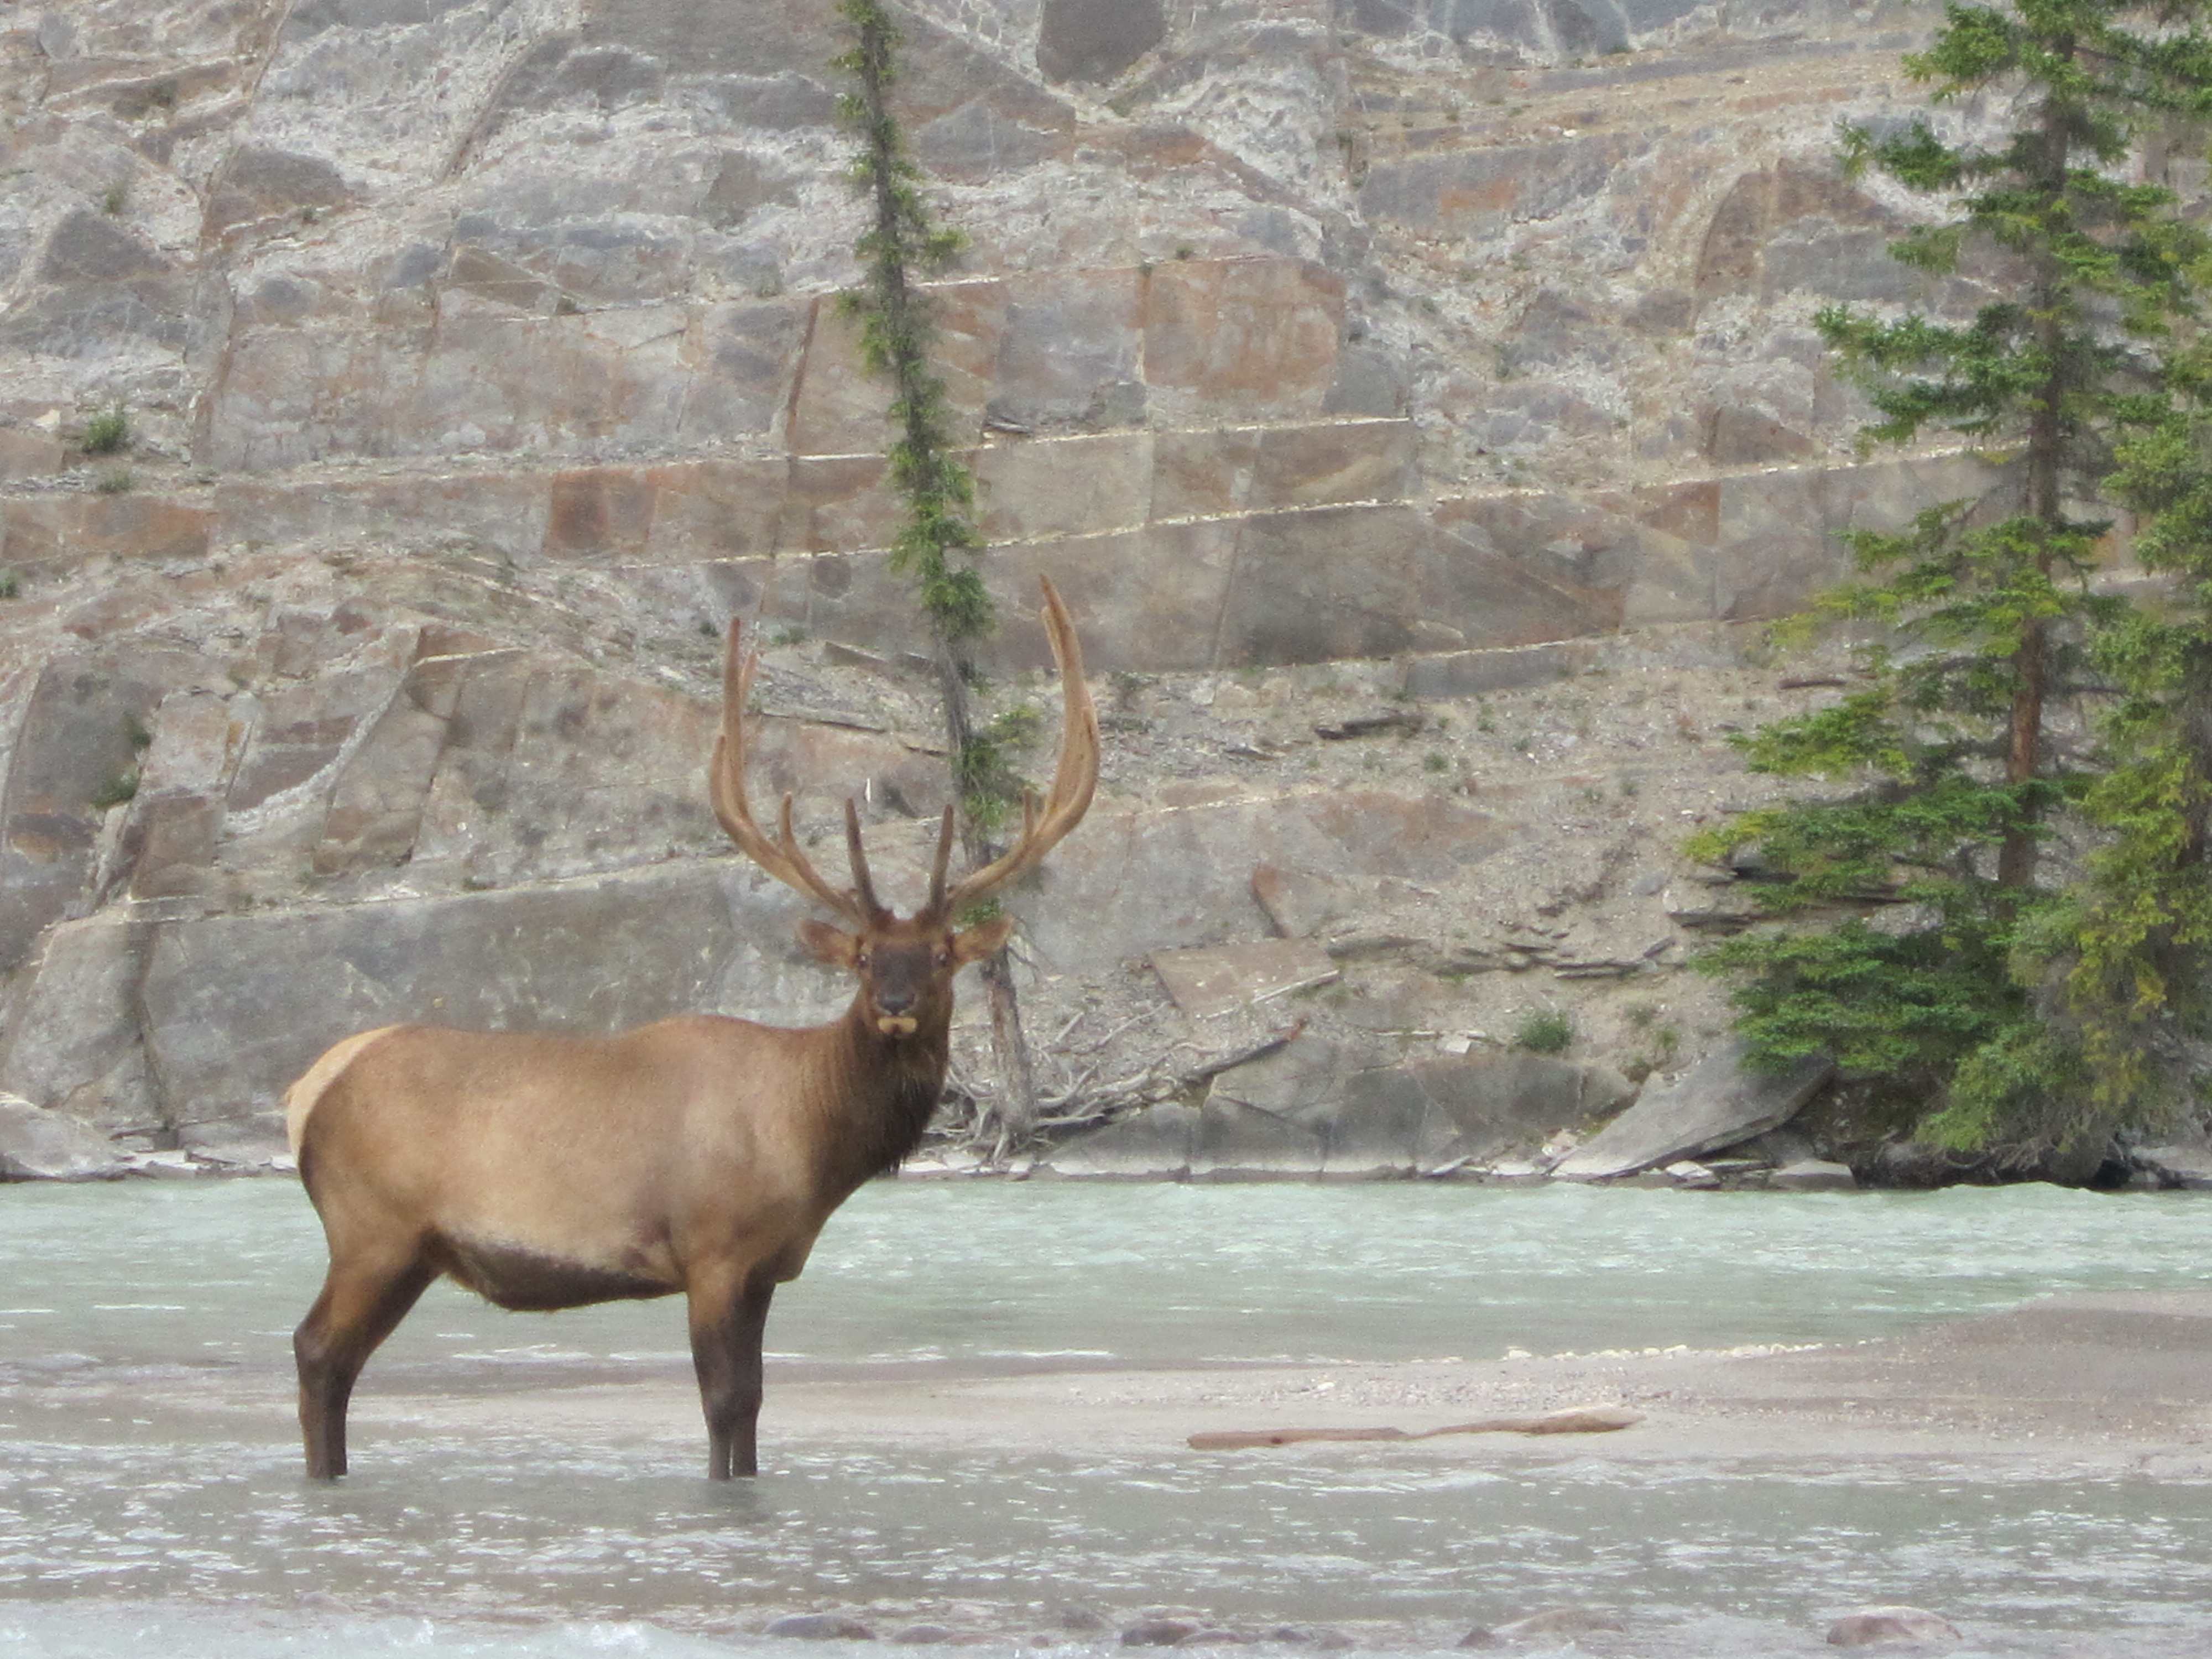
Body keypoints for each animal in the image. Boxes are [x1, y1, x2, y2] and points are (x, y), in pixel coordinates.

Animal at [285, 575, 1097, 1478]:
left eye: (943, 955)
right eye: (861, 957)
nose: (894, 1005)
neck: (811, 1138)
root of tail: (308, 1092)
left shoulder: (767, 1267)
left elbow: (756, 1407)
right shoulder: (713, 1250)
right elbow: (724, 1403)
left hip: (409, 1253)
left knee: (337, 1359)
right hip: (371, 1229)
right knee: (317, 1352)